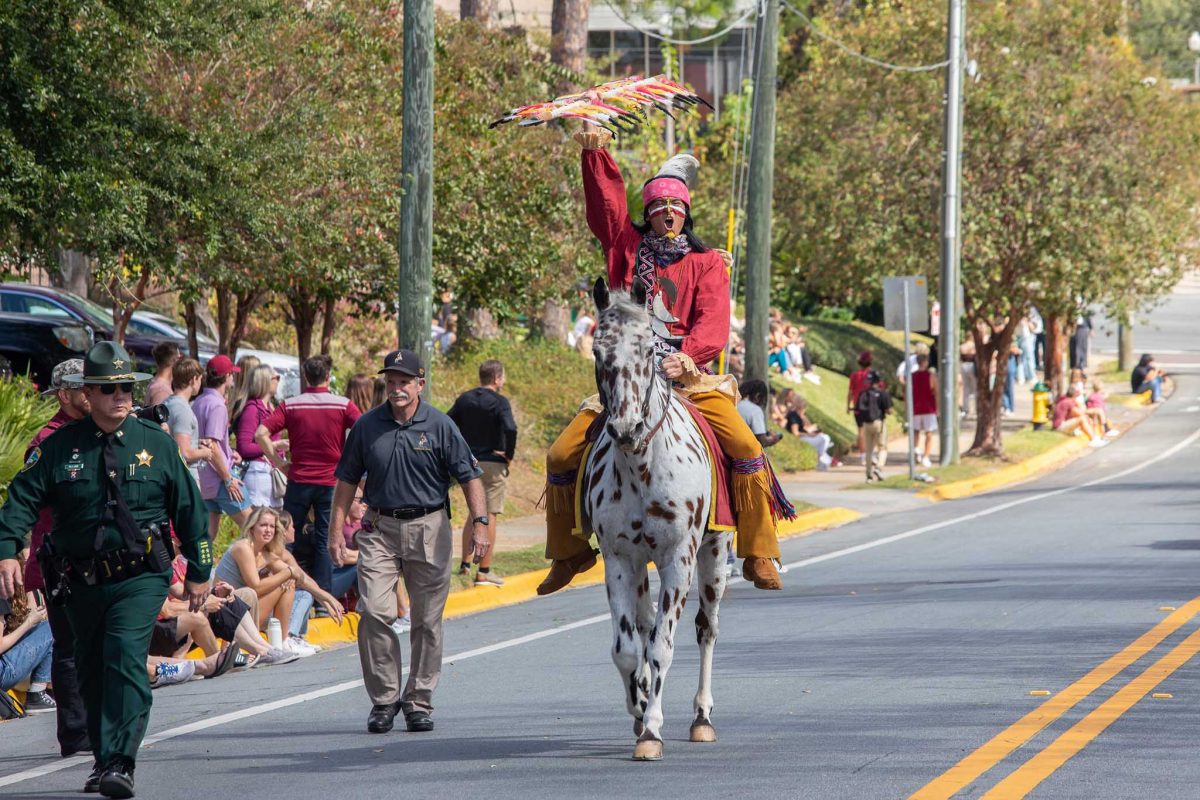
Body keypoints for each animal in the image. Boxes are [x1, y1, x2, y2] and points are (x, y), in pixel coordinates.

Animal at [580, 278, 729, 762]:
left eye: (649, 349)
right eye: (597, 351)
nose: (625, 428)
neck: (642, 465)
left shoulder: (677, 560)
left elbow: (663, 645)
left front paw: (652, 729)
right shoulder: (620, 561)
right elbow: (628, 648)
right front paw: (639, 709)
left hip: (713, 557)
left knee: (706, 628)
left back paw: (702, 717)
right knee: (645, 626)